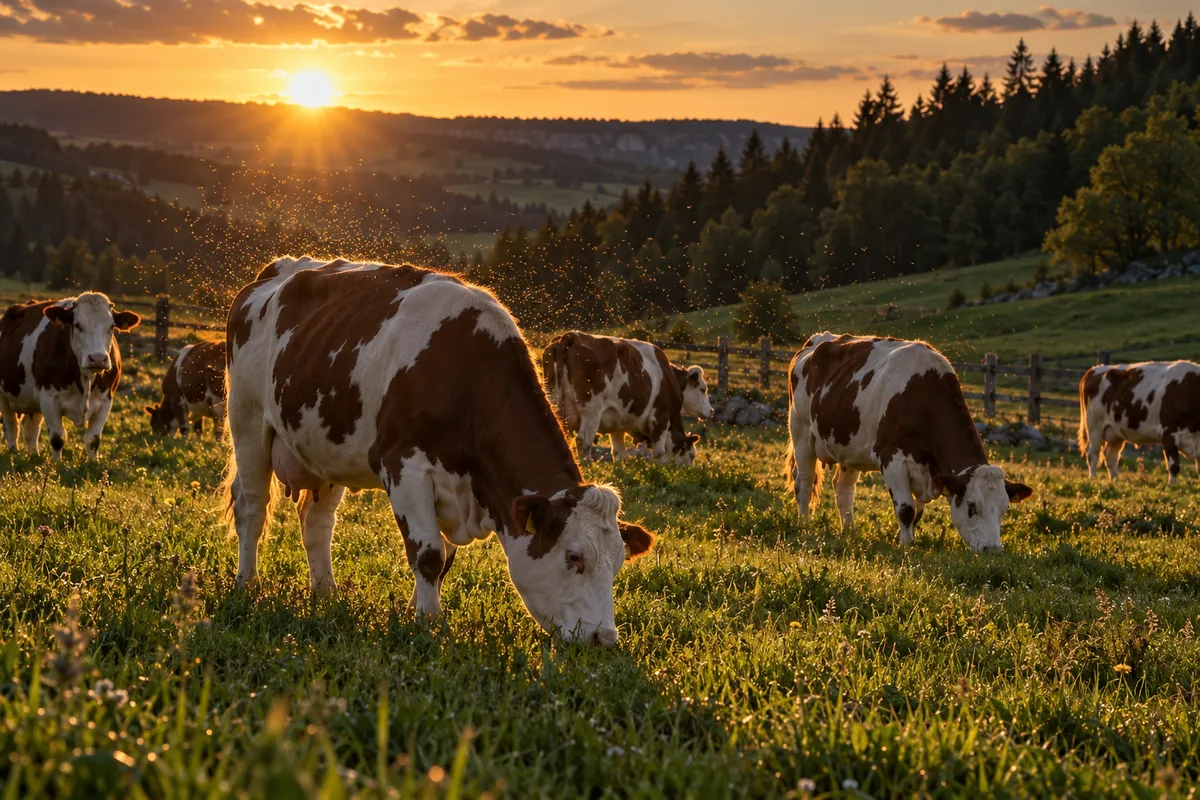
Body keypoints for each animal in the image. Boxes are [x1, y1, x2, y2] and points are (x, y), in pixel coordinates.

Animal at [0, 293, 140, 462]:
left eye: (111, 326)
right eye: (78, 325)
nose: (98, 358)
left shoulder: (106, 399)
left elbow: (93, 439)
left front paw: (93, 463)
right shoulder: (48, 397)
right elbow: (57, 437)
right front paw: (56, 464)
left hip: (32, 402)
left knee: (31, 430)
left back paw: (34, 455)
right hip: (4, 397)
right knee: (11, 425)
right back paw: (13, 452)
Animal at [222, 257, 654, 646]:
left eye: (618, 563)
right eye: (574, 556)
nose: (603, 638)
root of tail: (279, 269)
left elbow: (442, 558)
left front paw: (415, 611)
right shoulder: (404, 465)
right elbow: (428, 552)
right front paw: (429, 624)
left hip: (325, 448)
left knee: (317, 523)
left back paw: (326, 592)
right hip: (247, 418)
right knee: (252, 507)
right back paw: (247, 584)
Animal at [542, 331, 703, 465]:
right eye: (691, 456)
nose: (688, 470)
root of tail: (573, 336)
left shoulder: (616, 422)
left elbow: (619, 453)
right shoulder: (660, 417)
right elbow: (659, 453)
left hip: (553, 400)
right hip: (591, 409)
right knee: (584, 442)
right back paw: (587, 466)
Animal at [786, 332, 1033, 552]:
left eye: (1004, 509)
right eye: (972, 506)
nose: (993, 549)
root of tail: (818, 340)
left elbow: (917, 514)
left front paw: (907, 538)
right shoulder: (892, 459)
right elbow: (906, 510)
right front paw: (907, 545)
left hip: (847, 446)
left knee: (843, 489)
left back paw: (849, 532)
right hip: (800, 430)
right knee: (805, 481)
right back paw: (804, 524)